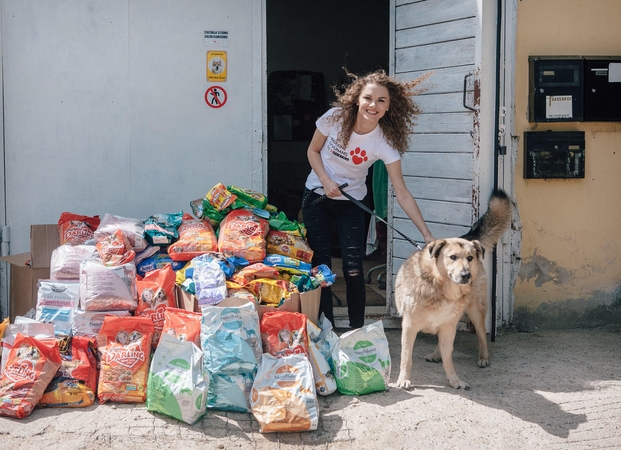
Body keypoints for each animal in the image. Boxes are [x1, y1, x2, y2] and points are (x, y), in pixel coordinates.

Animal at [394, 188, 512, 388]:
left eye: (470, 258)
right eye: (453, 257)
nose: (466, 275)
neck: (441, 289)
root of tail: (468, 237)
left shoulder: (448, 325)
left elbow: (449, 358)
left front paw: (455, 380)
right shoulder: (409, 327)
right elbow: (406, 357)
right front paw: (404, 379)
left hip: (475, 311)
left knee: (482, 334)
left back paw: (483, 357)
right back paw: (436, 354)